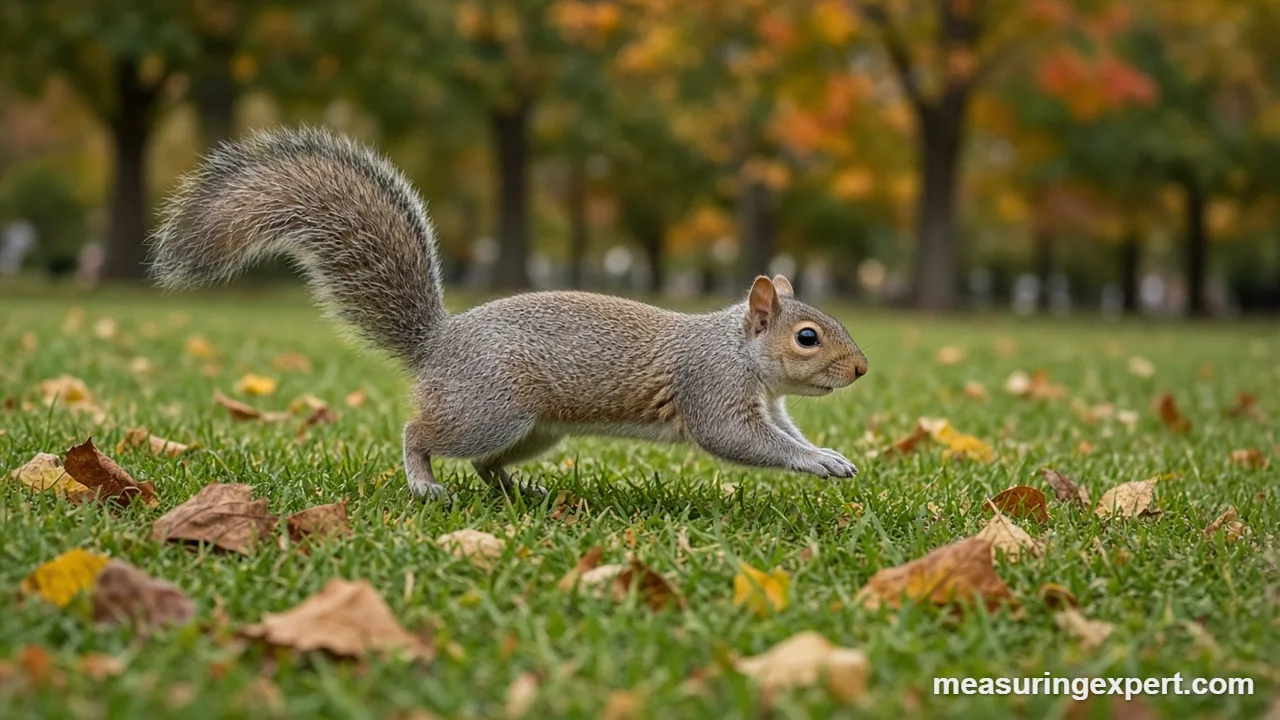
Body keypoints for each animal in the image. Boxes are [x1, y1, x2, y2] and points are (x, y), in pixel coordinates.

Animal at [149, 127, 869, 501]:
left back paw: (524, 492)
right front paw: (820, 464)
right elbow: (742, 441)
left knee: (486, 465)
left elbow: (786, 432)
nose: (861, 370)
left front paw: (829, 453)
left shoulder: (771, 401)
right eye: (808, 337)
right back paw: (424, 483)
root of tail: (437, 344)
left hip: (534, 429)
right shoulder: (711, 390)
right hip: (488, 410)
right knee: (421, 434)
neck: (738, 350)